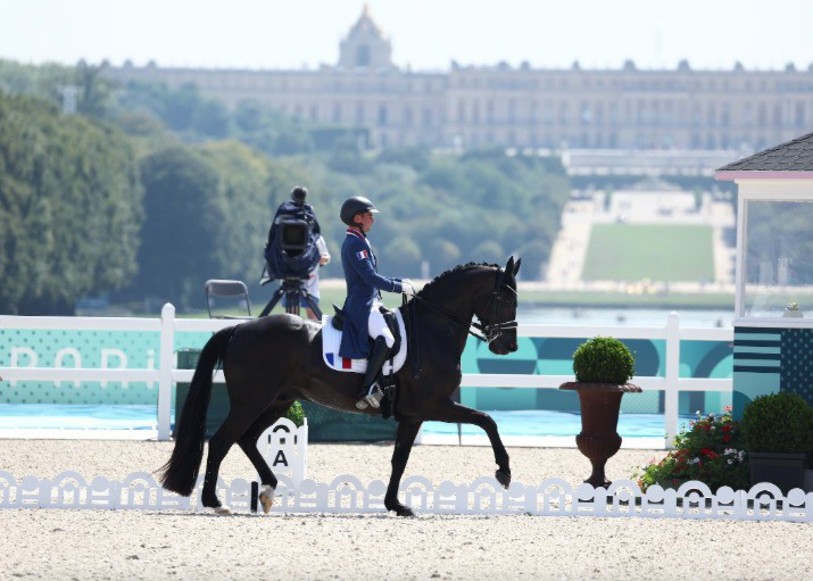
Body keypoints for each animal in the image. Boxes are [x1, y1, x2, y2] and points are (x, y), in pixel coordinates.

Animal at [160, 256, 520, 516]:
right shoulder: (434, 405)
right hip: (251, 402)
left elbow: (400, 459)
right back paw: (214, 501)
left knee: (246, 439)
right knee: (222, 441)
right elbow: (487, 421)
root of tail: (239, 328)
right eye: (505, 298)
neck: (432, 330)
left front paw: (396, 505)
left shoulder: (413, 415)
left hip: (276, 401)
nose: (509, 346)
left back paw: (268, 489)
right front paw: (504, 472)